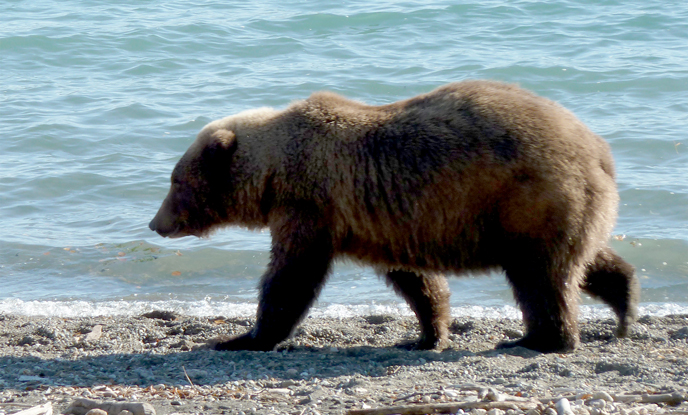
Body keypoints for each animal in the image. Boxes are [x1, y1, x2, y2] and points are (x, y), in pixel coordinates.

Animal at [150, 80, 640, 354]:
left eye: (176, 181)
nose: (156, 223)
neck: (273, 171)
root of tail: (600, 148)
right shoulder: (384, 219)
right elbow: (415, 280)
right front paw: (426, 334)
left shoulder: (310, 204)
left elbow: (291, 275)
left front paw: (243, 337)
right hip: (555, 208)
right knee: (580, 261)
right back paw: (623, 304)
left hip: (527, 196)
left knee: (539, 277)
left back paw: (538, 339)